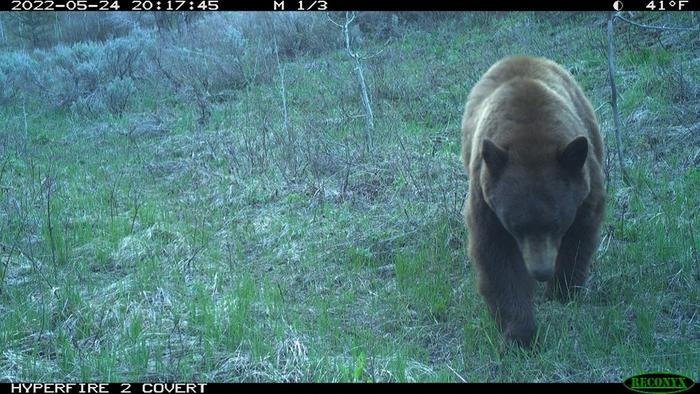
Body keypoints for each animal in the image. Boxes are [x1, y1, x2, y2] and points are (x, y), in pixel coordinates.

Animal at [460, 56, 608, 348]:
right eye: (516, 227)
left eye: (557, 224)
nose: (540, 272)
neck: (531, 137)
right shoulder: (487, 201)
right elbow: (497, 258)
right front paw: (520, 334)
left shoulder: (584, 188)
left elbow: (579, 236)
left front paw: (562, 292)